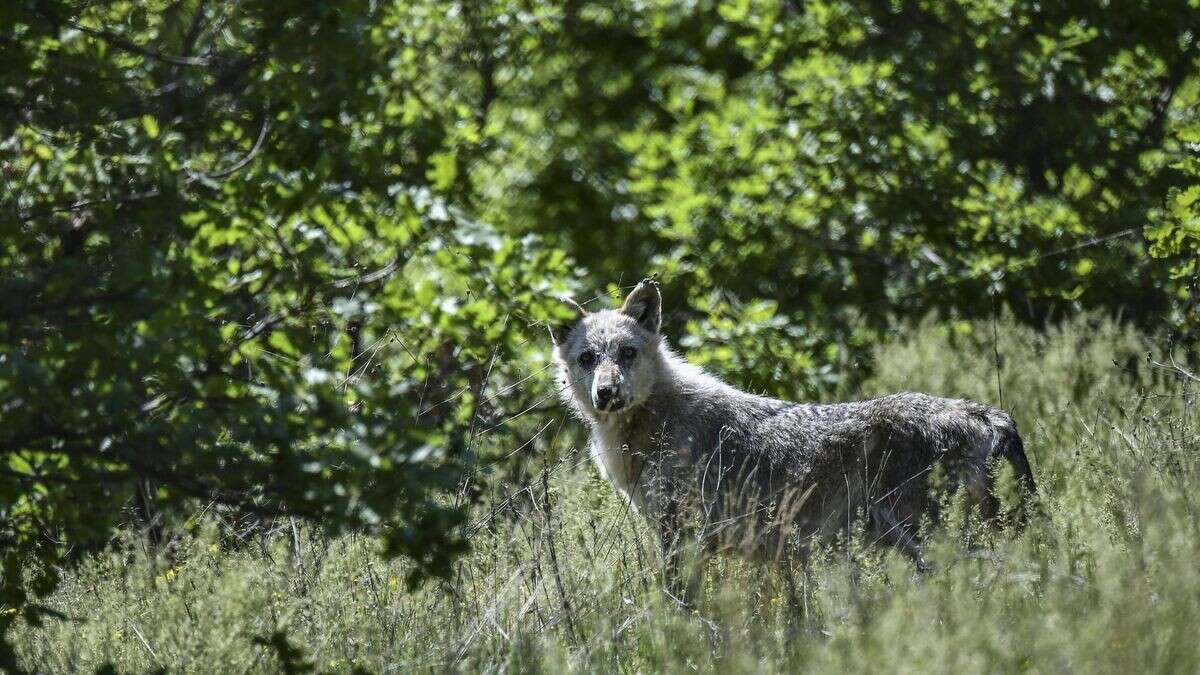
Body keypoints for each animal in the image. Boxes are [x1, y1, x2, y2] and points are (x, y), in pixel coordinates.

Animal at [549, 278, 1036, 598]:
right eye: (589, 358)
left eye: (627, 353)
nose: (607, 393)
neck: (654, 422)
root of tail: (987, 413)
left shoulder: (680, 538)